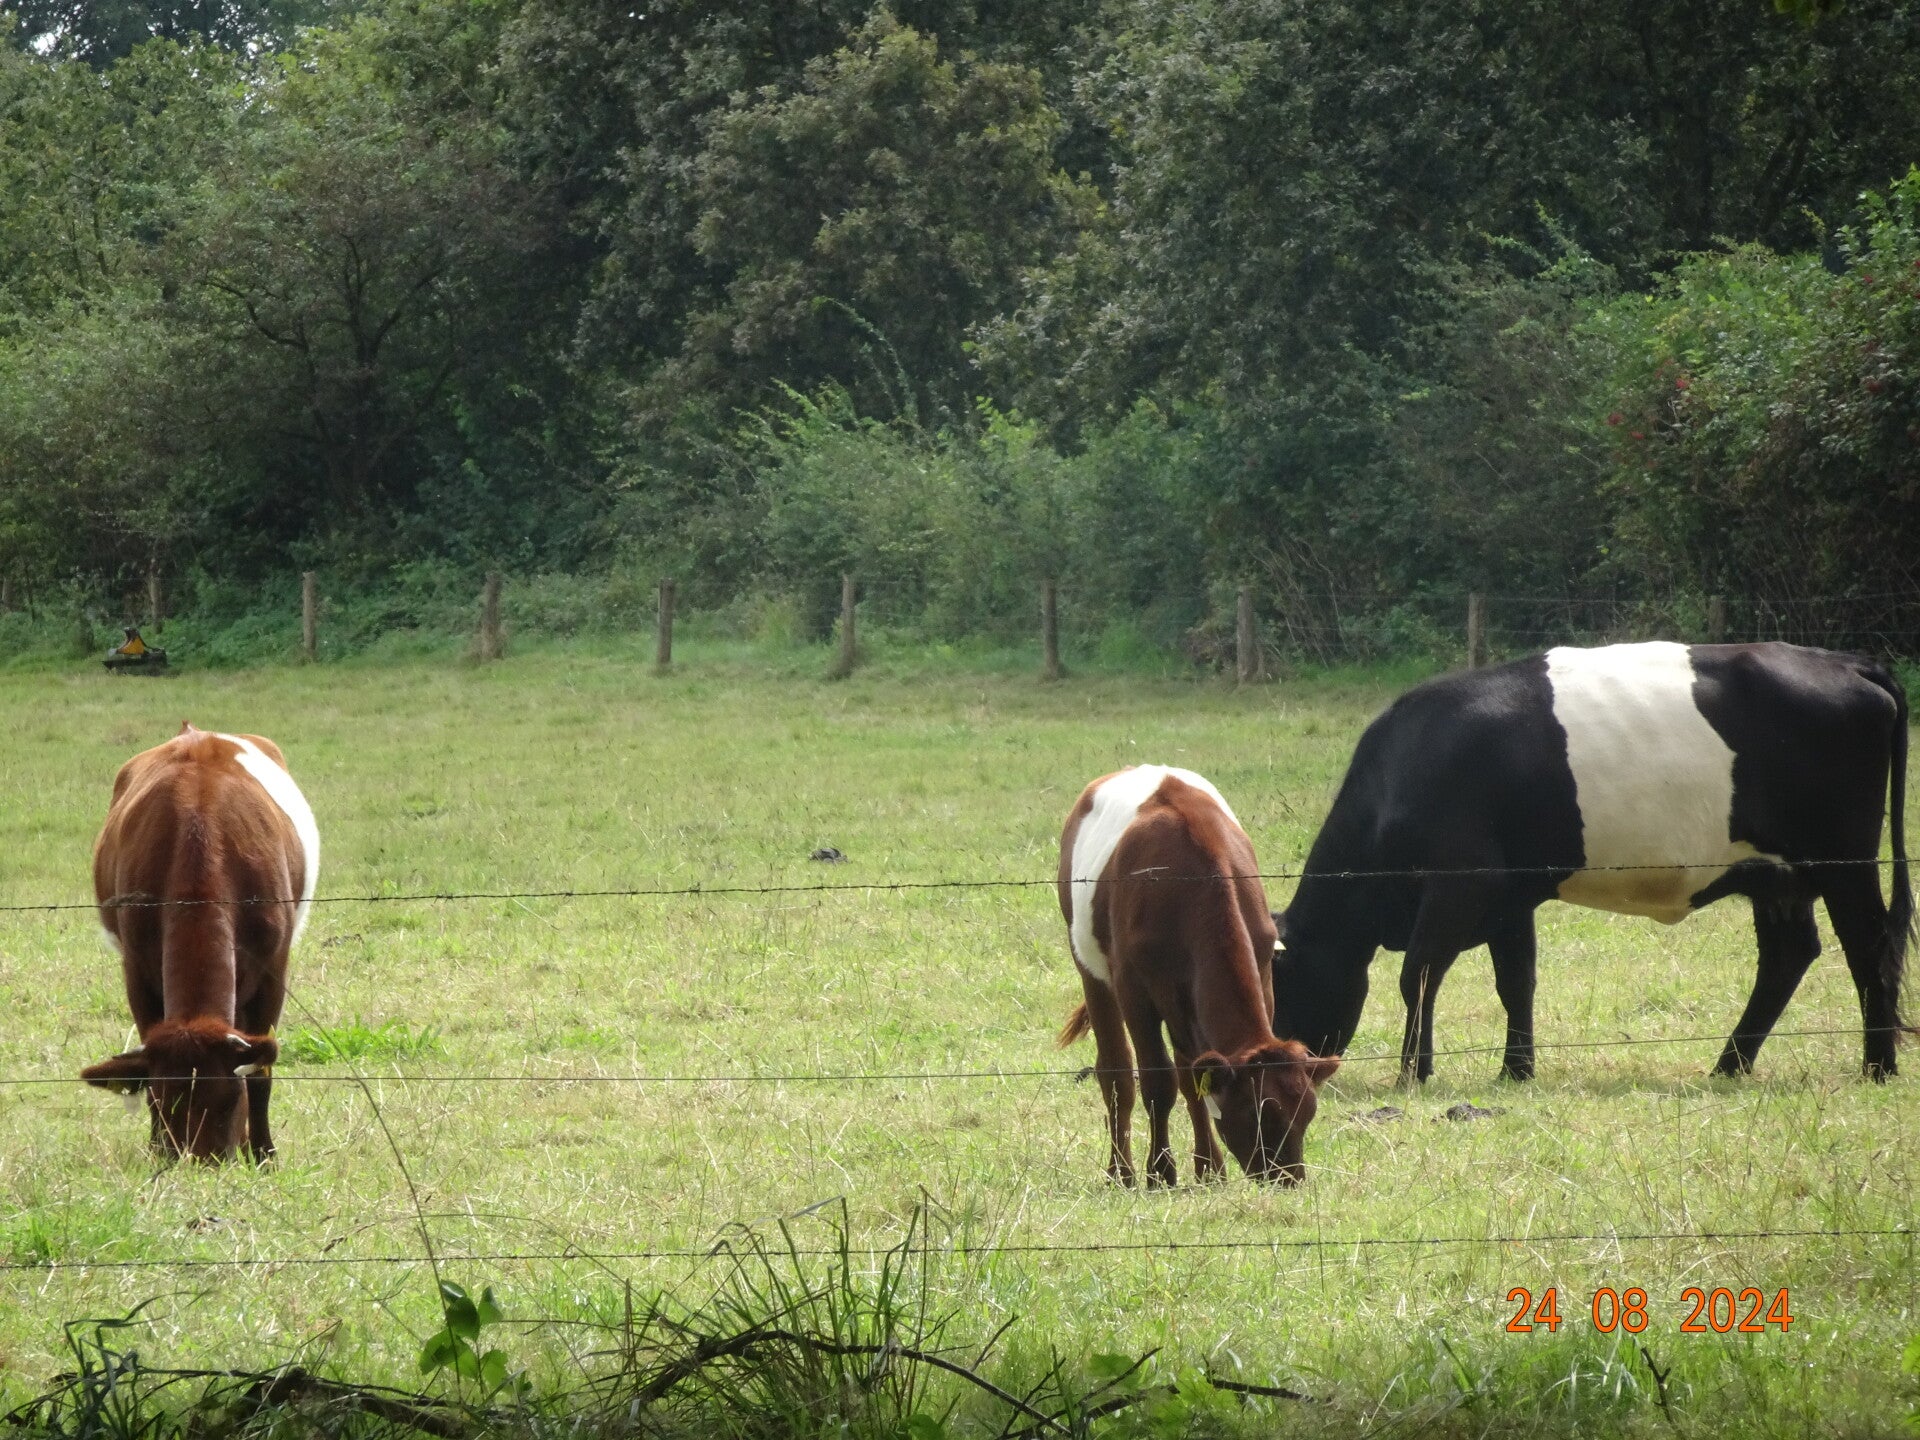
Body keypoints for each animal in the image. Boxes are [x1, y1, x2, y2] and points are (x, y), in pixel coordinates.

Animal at [80, 724, 319, 1161]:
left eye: (228, 1098)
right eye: (161, 1099)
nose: (199, 1164)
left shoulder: (274, 968)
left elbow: (261, 1072)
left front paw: (263, 1154)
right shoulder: (136, 967)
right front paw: (156, 1150)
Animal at [1057, 765, 1339, 1186]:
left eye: (1307, 1113)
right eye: (1258, 1114)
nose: (1288, 1179)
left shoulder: (1262, 967)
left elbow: (1194, 1081)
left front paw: (1210, 1169)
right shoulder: (1134, 990)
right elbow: (1157, 1081)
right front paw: (1160, 1173)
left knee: (1187, 1072)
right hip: (1091, 965)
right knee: (1116, 1073)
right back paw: (1121, 1173)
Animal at [1269, 642, 1912, 1085]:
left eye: (1279, 979)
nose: (1272, 1062)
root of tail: (1848, 662)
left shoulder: (1460, 886)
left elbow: (1417, 976)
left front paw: (1413, 1073)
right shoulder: (1509, 896)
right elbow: (1516, 981)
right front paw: (1515, 1071)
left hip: (1845, 862)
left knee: (1869, 947)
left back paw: (1877, 1067)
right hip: (1777, 878)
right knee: (1788, 956)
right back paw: (1729, 1065)